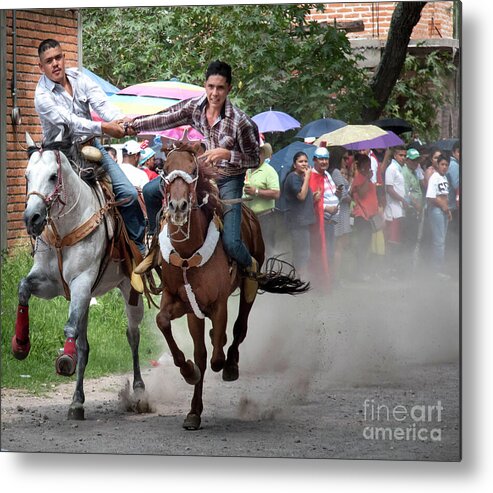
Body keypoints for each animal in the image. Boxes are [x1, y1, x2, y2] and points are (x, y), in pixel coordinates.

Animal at [11, 130, 145, 418]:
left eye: (53, 176)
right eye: (26, 175)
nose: (32, 218)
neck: (63, 231)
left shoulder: (81, 282)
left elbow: (69, 326)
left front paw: (65, 359)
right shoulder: (49, 283)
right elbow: (23, 288)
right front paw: (21, 344)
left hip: (130, 289)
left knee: (133, 334)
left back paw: (139, 391)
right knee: (86, 346)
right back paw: (77, 401)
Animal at [154, 140, 308, 428]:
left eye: (193, 169)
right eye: (165, 169)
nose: (178, 207)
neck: (187, 253)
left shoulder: (218, 303)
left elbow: (216, 354)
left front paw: (222, 363)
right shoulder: (183, 303)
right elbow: (170, 329)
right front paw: (190, 381)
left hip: (249, 284)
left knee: (239, 329)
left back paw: (231, 364)